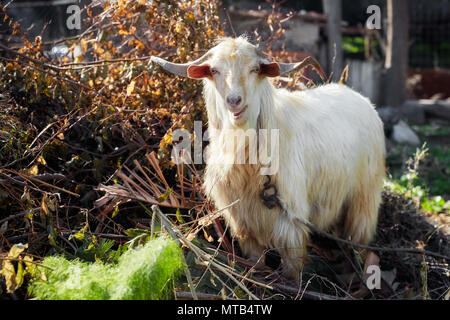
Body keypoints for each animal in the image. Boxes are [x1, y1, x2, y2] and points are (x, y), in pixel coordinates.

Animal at [152, 36, 386, 278]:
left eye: (254, 69)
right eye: (215, 71)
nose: (234, 100)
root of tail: (362, 100)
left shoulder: (291, 223)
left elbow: (292, 270)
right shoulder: (243, 223)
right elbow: (255, 261)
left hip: (364, 200)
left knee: (360, 244)